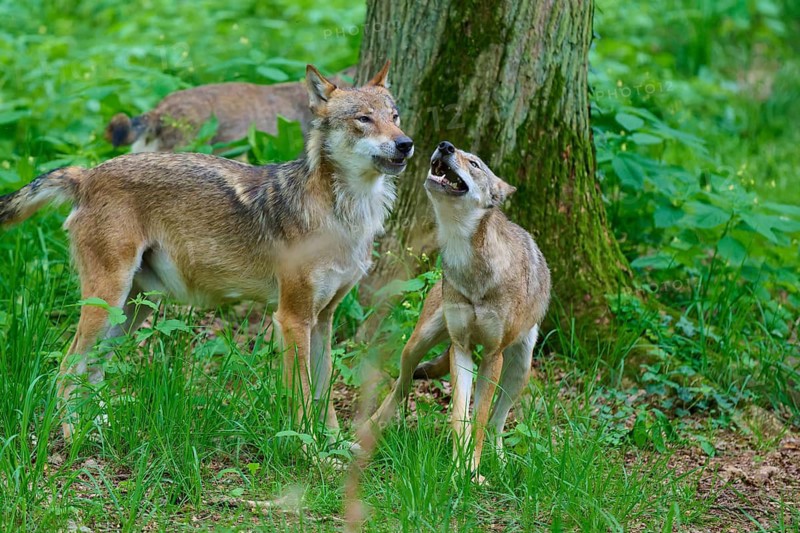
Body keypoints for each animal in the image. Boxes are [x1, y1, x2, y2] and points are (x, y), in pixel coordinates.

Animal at [367, 141, 550, 482]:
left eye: (475, 163)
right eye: (455, 150)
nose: (445, 146)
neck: (468, 263)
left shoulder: (492, 355)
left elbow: (478, 421)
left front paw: (471, 472)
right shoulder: (461, 348)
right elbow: (458, 417)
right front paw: (458, 470)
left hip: (519, 368)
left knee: (497, 423)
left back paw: (500, 462)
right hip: (417, 344)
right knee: (401, 385)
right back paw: (367, 432)